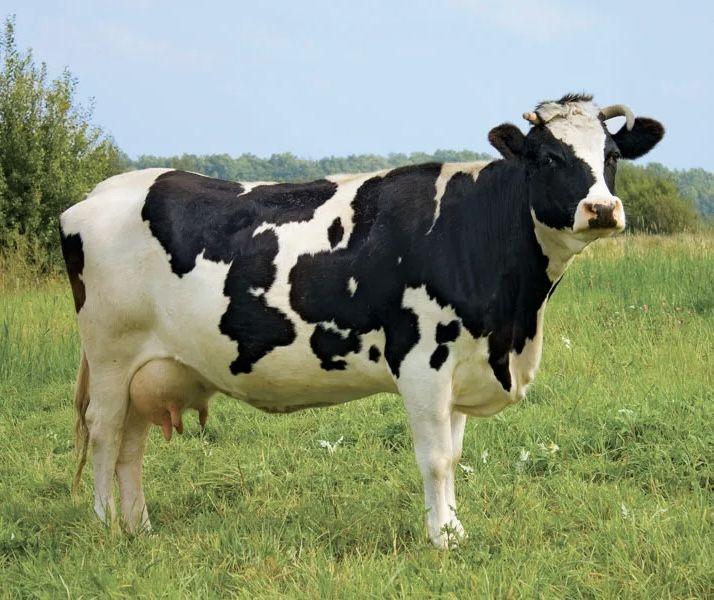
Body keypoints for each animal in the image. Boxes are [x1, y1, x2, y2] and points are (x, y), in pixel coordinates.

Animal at [60, 94, 664, 547]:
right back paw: (107, 527)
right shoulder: (423, 362)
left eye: (611, 155)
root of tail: (99, 192)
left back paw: (139, 527)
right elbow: (436, 458)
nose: (602, 209)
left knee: (131, 445)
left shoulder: (462, 365)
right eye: (546, 158)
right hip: (111, 355)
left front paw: (455, 529)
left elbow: (455, 454)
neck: (514, 326)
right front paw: (441, 539)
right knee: (105, 434)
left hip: (148, 365)